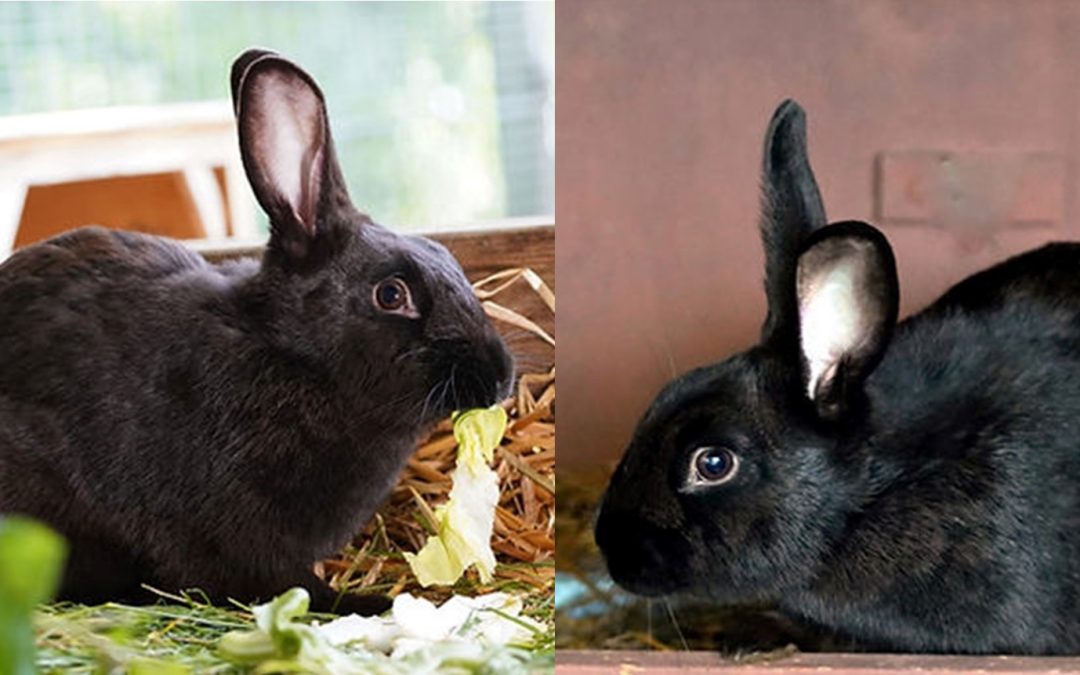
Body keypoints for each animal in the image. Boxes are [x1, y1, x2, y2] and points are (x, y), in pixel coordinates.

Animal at [0, 48, 514, 616]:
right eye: (391, 294)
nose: (499, 377)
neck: (294, 356)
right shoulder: (239, 529)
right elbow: (287, 583)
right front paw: (368, 602)